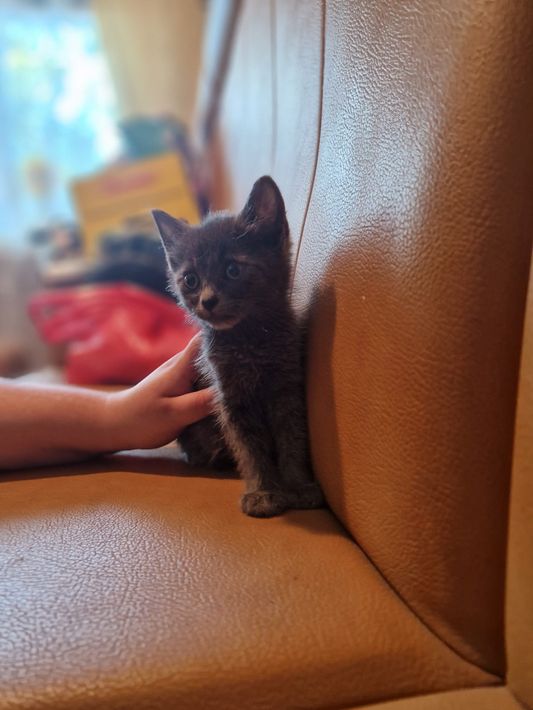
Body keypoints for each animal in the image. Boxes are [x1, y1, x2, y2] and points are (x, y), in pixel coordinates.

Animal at [152, 176, 324, 518]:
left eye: (233, 270)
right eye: (190, 280)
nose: (207, 300)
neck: (248, 340)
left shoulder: (286, 387)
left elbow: (293, 437)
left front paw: (298, 486)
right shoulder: (231, 399)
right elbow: (250, 448)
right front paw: (263, 492)